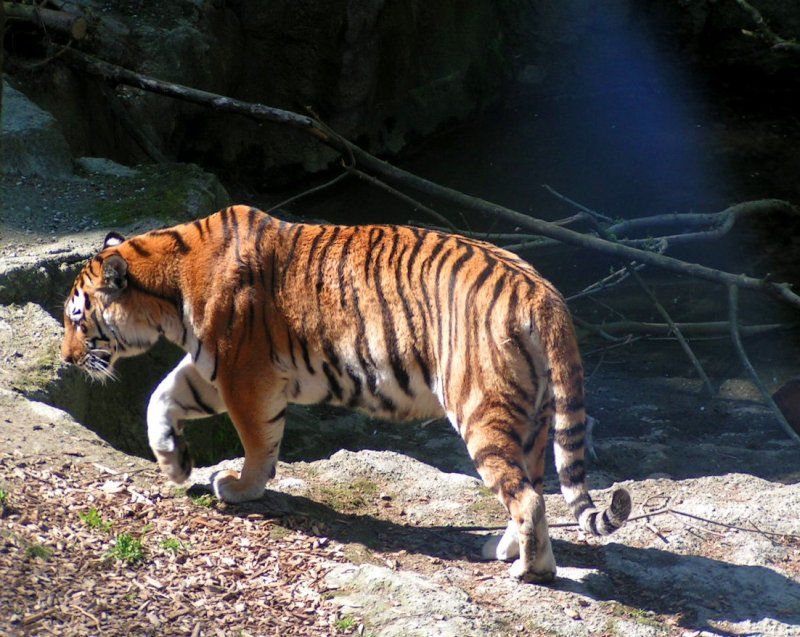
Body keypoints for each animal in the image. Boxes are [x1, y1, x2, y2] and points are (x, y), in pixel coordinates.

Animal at [61, 204, 632, 580]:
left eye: (77, 316)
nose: (66, 360)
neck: (167, 288)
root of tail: (543, 291)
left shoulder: (244, 375)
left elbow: (257, 444)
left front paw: (240, 487)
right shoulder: (213, 368)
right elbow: (161, 396)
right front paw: (173, 461)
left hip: (480, 409)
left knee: (529, 497)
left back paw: (532, 571)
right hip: (533, 416)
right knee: (532, 485)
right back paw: (507, 549)